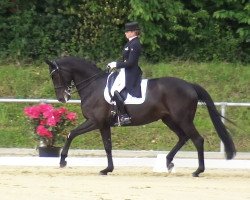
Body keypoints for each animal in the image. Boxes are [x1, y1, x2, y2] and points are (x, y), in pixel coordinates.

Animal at [45, 56, 236, 177]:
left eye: (55, 75)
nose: (62, 98)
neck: (93, 86)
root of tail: (189, 85)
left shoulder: (94, 121)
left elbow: (71, 134)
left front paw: (62, 160)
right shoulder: (104, 124)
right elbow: (108, 146)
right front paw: (107, 169)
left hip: (183, 119)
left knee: (197, 139)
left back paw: (197, 171)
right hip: (169, 119)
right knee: (183, 137)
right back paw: (168, 162)